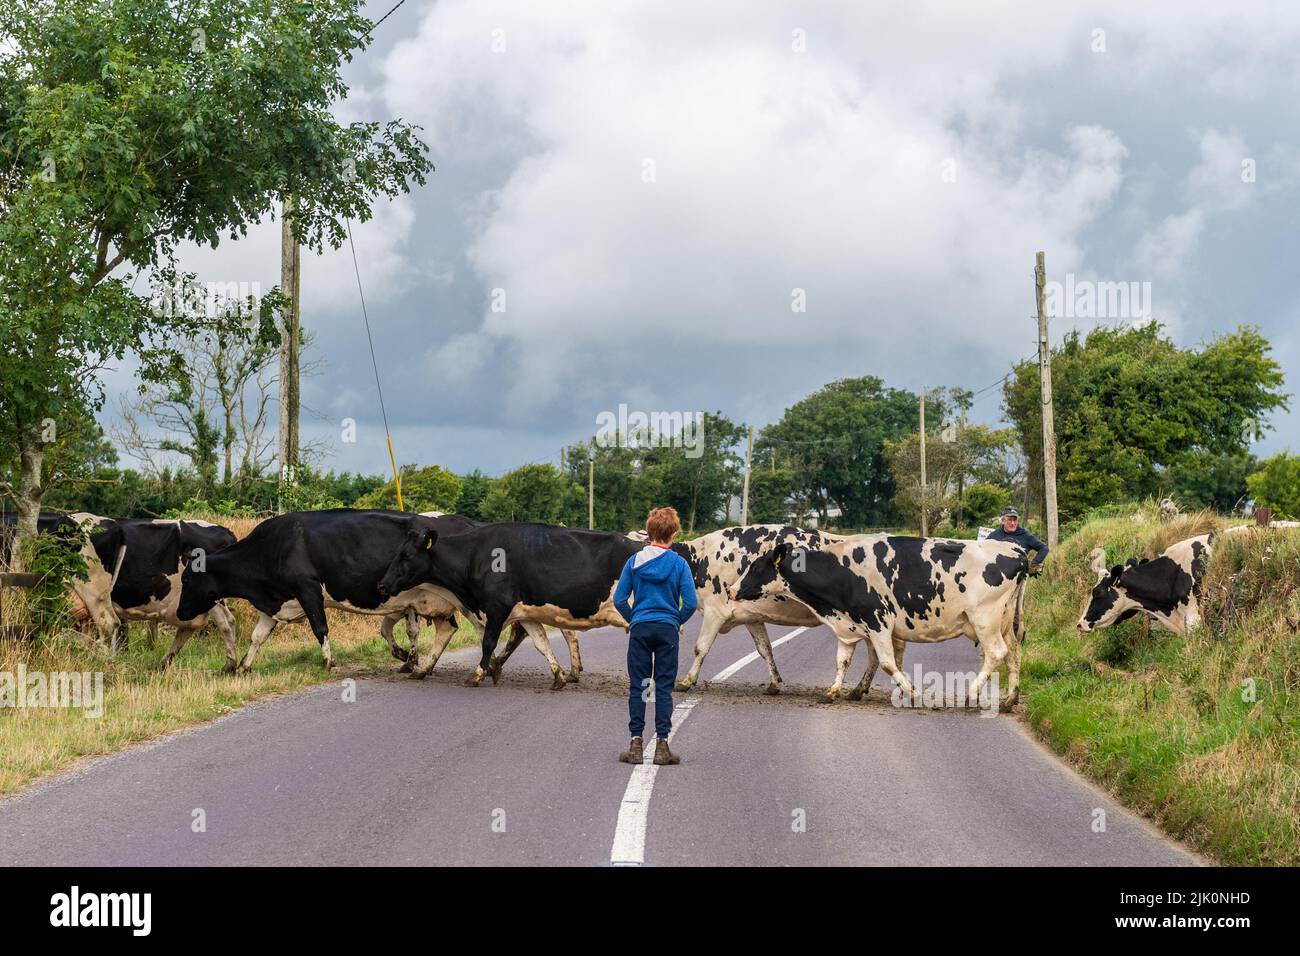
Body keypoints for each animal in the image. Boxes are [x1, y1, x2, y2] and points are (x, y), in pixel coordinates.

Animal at [179, 509, 488, 671]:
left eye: (186, 581)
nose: (180, 613)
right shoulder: (278, 600)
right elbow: (258, 636)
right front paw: (244, 666)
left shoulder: (308, 589)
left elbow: (320, 628)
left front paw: (328, 662)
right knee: (447, 629)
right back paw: (420, 667)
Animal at [377, 520, 639, 691]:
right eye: (397, 553)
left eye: (405, 556)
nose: (382, 584)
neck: (474, 556)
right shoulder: (525, 613)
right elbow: (541, 643)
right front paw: (558, 677)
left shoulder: (496, 607)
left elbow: (488, 642)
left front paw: (477, 675)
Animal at [733, 538, 1024, 712]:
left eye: (756, 568)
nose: (733, 589)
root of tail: (1015, 550)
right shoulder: (848, 626)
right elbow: (842, 661)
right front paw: (832, 691)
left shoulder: (878, 620)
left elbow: (886, 662)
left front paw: (912, 693)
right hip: (1004, 621)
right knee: (1014, 654)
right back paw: (1009, 700)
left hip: (984, 618)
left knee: (996, 652)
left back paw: (971, 695)